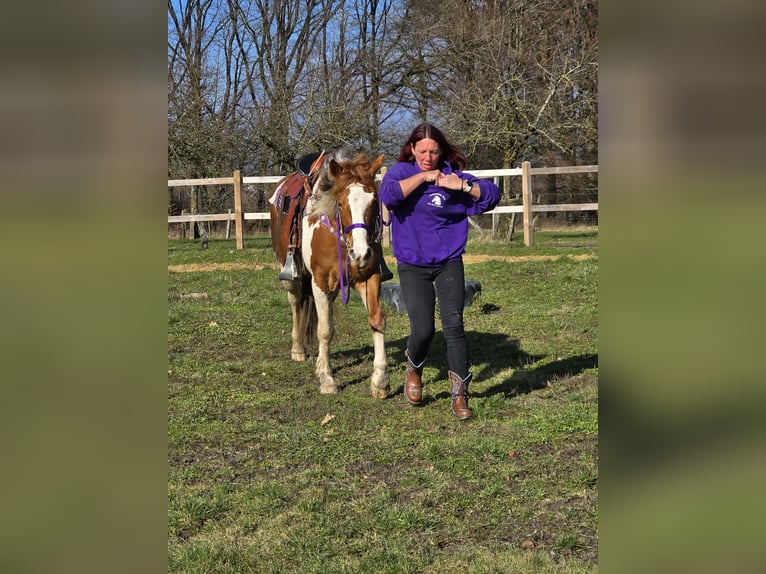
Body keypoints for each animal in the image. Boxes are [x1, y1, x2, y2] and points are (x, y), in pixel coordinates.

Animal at [269, 150, 389, 398]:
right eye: (341, 203)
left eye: (374, 201)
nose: (360, 253)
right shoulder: (321, 283)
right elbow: (325, 330)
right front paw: (326, 378)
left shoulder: (369, 278)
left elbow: (377, 320)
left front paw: (380, 381)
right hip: (291, 275)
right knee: (295, 302)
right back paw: (298, 349)